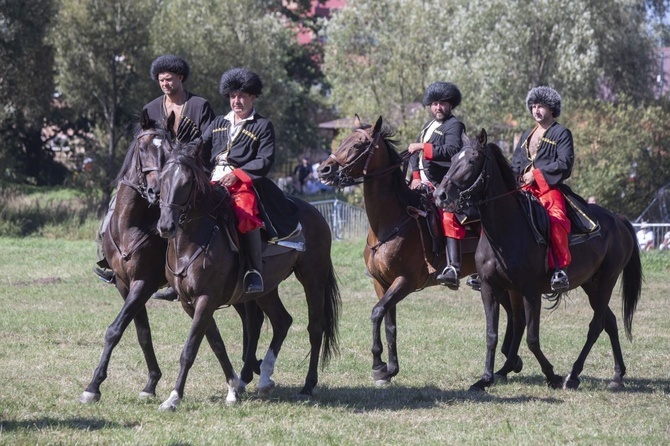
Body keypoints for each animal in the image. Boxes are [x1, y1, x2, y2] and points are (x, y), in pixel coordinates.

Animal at [79, 109, 262, 404]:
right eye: (143, 148)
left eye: (168, 152)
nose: (155, 192)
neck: (131, 225)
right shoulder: (124, 284)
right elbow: (141, 332)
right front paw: (150, 383)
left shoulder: (143, 283)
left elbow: (116, 329)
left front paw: (93, 386)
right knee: (250, 320)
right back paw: (244, 373)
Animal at [156, 144, 342, 412]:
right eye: (161, 179)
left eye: (187, 182)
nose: (166, 226)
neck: (192, 242)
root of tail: (315, 213)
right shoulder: (190, 303)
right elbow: (216, 344)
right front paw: (233, 387)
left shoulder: (206, 299)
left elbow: (190, 348)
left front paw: (173, 397)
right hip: (266, 290)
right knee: (281, 321)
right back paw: (263, 377)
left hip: (313, 279)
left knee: (315, 329)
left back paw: (307, 386)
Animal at [318, 116, 524, 386]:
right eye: (345, 140)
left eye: (358, 145)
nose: (324, 170)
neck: (391, 222)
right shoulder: (382, 283)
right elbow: (389, 324)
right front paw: (390, 369)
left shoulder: (405, 281)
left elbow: (376, 313)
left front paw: (378, 366)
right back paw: (510, 361)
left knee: (518, 317)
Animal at [434, 129, 644, 390]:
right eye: (452, 160)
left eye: (472, 161)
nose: (440, 195)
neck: (504, 231)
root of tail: (618, 219)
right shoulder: (493, 289)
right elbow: (493, 334)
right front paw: (485, 379)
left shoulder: (530, 291)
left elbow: (532, 338)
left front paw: (552, 375)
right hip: (591, 284)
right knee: (610, 321)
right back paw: (617, 375)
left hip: (607, 280)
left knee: (596, 325)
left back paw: (573, 375)